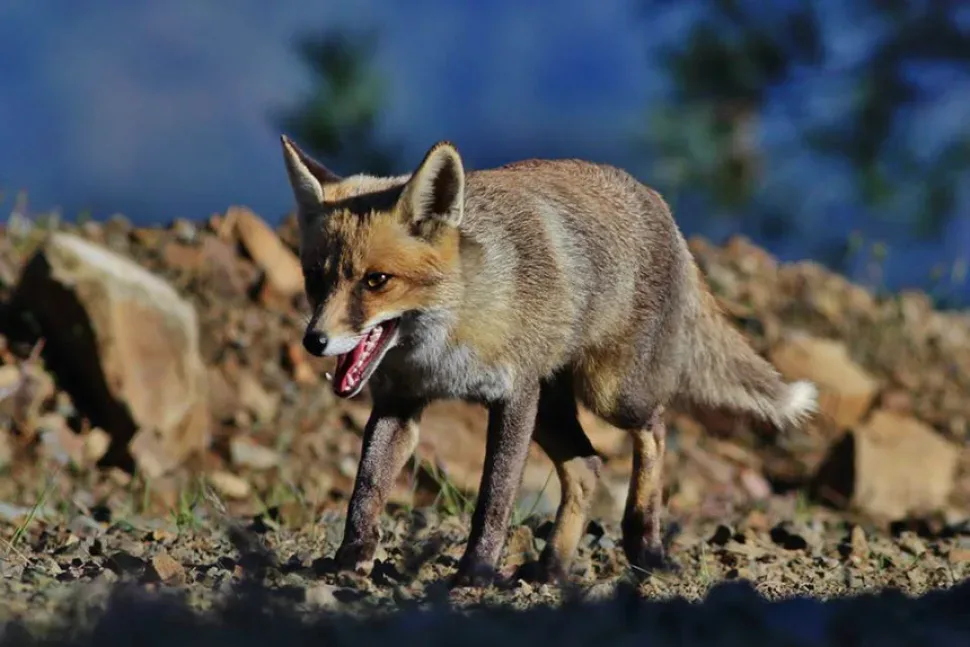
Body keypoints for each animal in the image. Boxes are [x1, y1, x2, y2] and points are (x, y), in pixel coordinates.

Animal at [279, 134, 818, 587]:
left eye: (376, 281)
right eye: (314, 278)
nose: (314, 341)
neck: (443, 348)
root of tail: (658, 203)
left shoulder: (514, 396)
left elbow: (494, 498)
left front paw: (476, 572)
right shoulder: (400, 401)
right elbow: (366, 486)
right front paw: (351, 558)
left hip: (609, 395)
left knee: (657, 428)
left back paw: (644, 541)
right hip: (553, 410)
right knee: (588, 467)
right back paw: (553, 567)